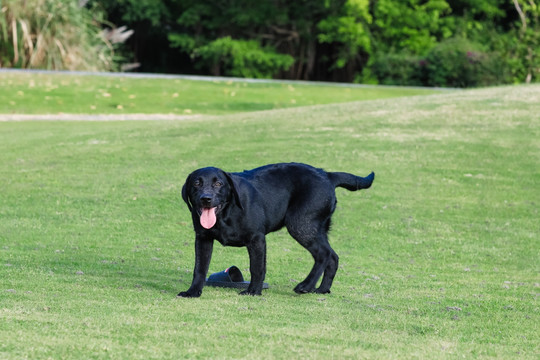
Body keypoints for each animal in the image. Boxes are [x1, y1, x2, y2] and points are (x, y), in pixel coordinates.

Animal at [179, 163, 374, 298]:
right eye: (196, 183)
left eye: (219, 183)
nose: (206, 199)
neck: (225, 213)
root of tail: (327, 175)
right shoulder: (203, 238)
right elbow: (200, 268)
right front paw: (193, 292)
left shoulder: (257, 239)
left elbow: (257, 268)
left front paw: (253, 291)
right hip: (316, 228)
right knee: (333, 257)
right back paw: (322, 289)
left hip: (301, 225)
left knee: (324, 254)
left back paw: (305, 286)